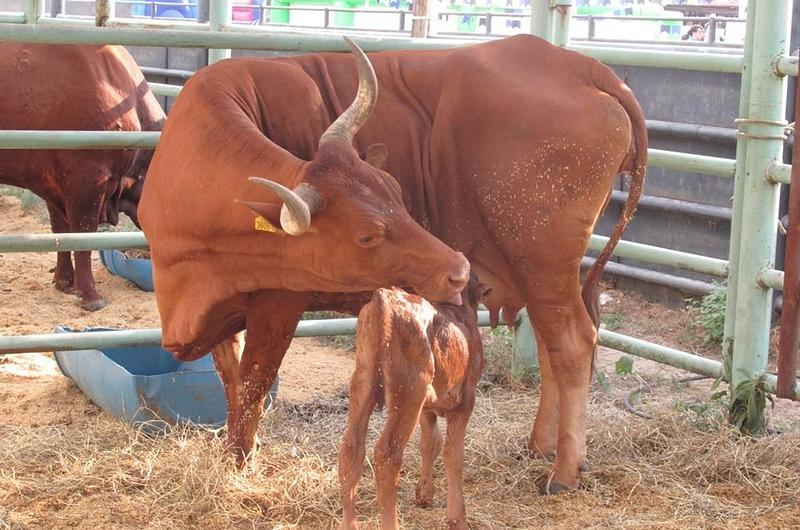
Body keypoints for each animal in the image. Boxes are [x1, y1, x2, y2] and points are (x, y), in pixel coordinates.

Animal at [0, 45, 164, 312]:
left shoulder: (52, 181)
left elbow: (61, 232)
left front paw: (64, 282)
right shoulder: (87, 179)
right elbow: (83, 235)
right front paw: (90, 295)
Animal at [141, 34, 648, 486]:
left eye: (400, 194)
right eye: (367, 234)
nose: (460, 270)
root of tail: (579, 66)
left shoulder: (279, 301)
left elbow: (253, 382)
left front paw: (237, 463)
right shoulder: (225, 301)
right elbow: (230, 377)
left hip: (543, 266)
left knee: (572, 343)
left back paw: (564, 471)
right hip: (542, 276)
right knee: (551, 346)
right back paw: (540, 447)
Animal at [336, 274, 488, 524]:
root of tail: (385, 297)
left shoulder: (427, 407)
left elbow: (430, 443)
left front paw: (425, 494)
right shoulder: (466, 399)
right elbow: (453, 453)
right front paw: (457, 517)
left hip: (363, 381)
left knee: (351, 448)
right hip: (409, 389)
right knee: (388, 455)